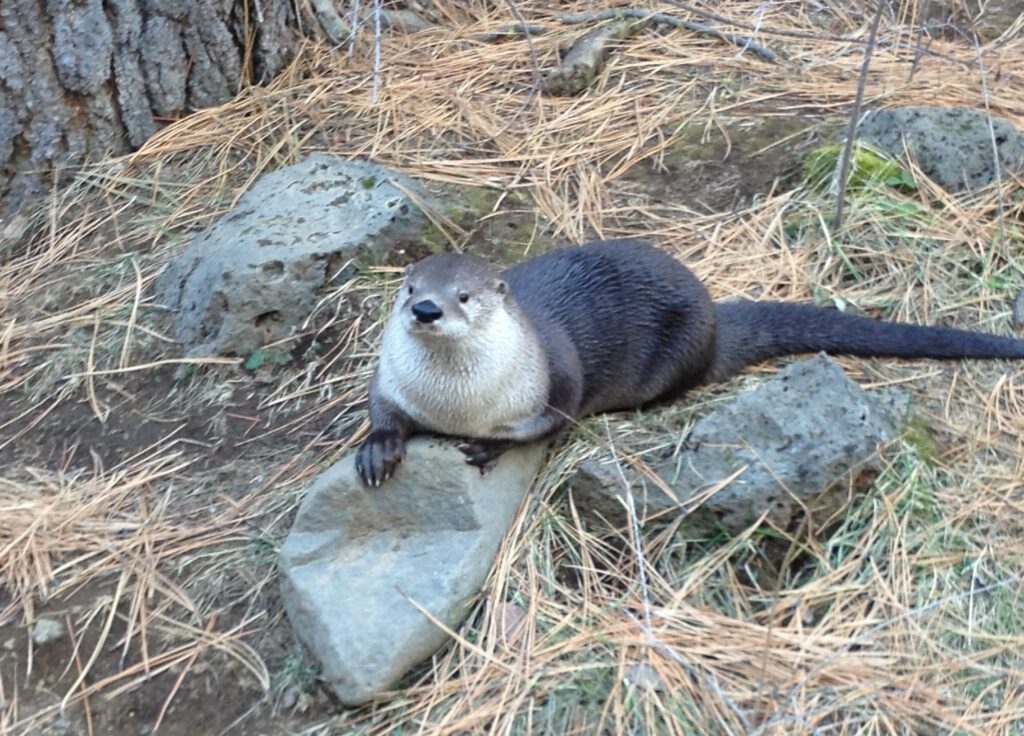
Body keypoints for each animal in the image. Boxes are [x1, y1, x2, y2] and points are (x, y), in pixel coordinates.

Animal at [356, 239, 1024, 486]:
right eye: (409, 287)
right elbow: (382, 408)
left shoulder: (556, 385)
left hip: (678, 355)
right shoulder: (392, 381)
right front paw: (378, 449)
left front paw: (491, 447)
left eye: (464, 296)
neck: (456, 405)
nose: (425, 309)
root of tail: (714, 323)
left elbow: (548, 425)